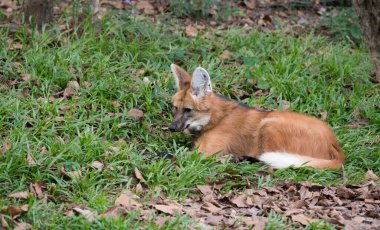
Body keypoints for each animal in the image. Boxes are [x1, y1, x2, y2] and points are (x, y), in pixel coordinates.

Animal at [168, 63, 344, 169]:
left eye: (188, 110)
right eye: (175, 108)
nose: (171, 128)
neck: (215, 119)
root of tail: (334, 143)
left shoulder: (205, 153)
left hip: (269, 123)